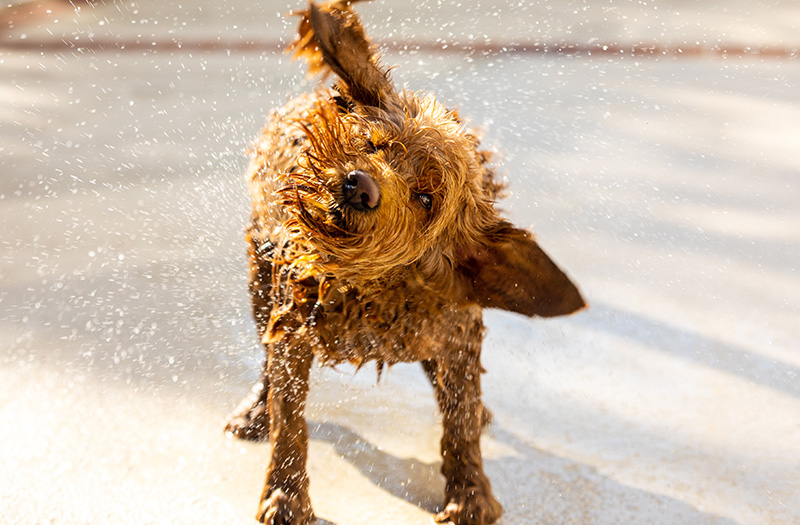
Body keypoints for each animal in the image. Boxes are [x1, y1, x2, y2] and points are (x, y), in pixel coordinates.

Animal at [222, 2, 584, 520]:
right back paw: (255, 411)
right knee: (265, 361)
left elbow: (459, 422)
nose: (358, 185)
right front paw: (286, 495)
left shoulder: (457, 333)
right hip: (259, 273)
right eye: (372, 144)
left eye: (426, 198)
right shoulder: (291, 324)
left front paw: (470, 493)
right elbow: (289, 418)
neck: (371, 286)